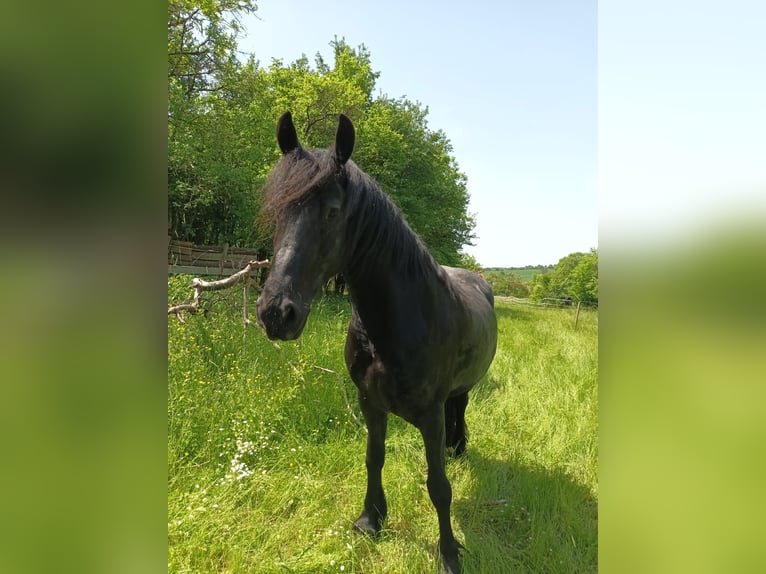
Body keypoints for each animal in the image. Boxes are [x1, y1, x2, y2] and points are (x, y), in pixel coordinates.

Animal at [256, 112, 498, 574]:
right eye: (276, 211)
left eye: (332, 212)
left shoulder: (431, 414)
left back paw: (459, 449)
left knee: (460, 409)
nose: (276, 313)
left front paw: (449, 553)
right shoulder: (369, 402)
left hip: (460, 392)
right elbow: (374, 457)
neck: (397, 323)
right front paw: (371, 520)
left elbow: (438, 485)